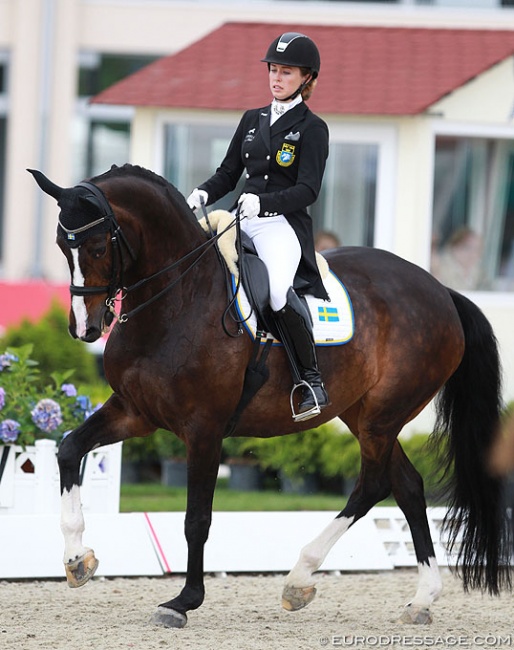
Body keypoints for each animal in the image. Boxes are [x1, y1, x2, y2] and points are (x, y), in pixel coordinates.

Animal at [29, 165, 508, 624]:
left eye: (96, 247)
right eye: (59, 245)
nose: (84, 328)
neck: (178, 298)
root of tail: (440, 290)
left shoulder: (204, 429)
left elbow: (196, 518)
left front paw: (184, 601)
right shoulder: (135, 412)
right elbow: (69, 449)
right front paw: (77, 559)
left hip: (383, 416)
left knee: (372, 484)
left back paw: (299, 577)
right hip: (361, 413)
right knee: (407, 485)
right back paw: (421, 600)